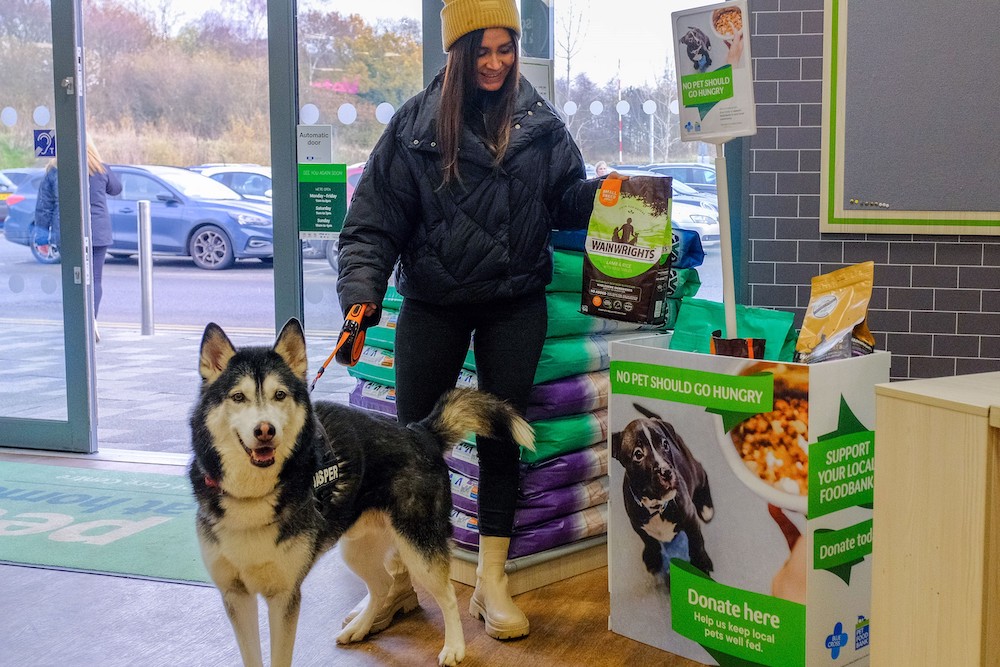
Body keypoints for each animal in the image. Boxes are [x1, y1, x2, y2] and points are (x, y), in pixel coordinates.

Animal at [187, 320, 532, 664]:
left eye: (279, 395)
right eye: (238, 397)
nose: (265, 430)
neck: (252, 496)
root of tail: (419, 432)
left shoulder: (284, 596)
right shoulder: (236, 596)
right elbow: (251, 655)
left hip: (419, 547)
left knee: (446, 595)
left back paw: (454, 647)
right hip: (355, 549)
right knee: (382, 585)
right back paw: (361, 628)